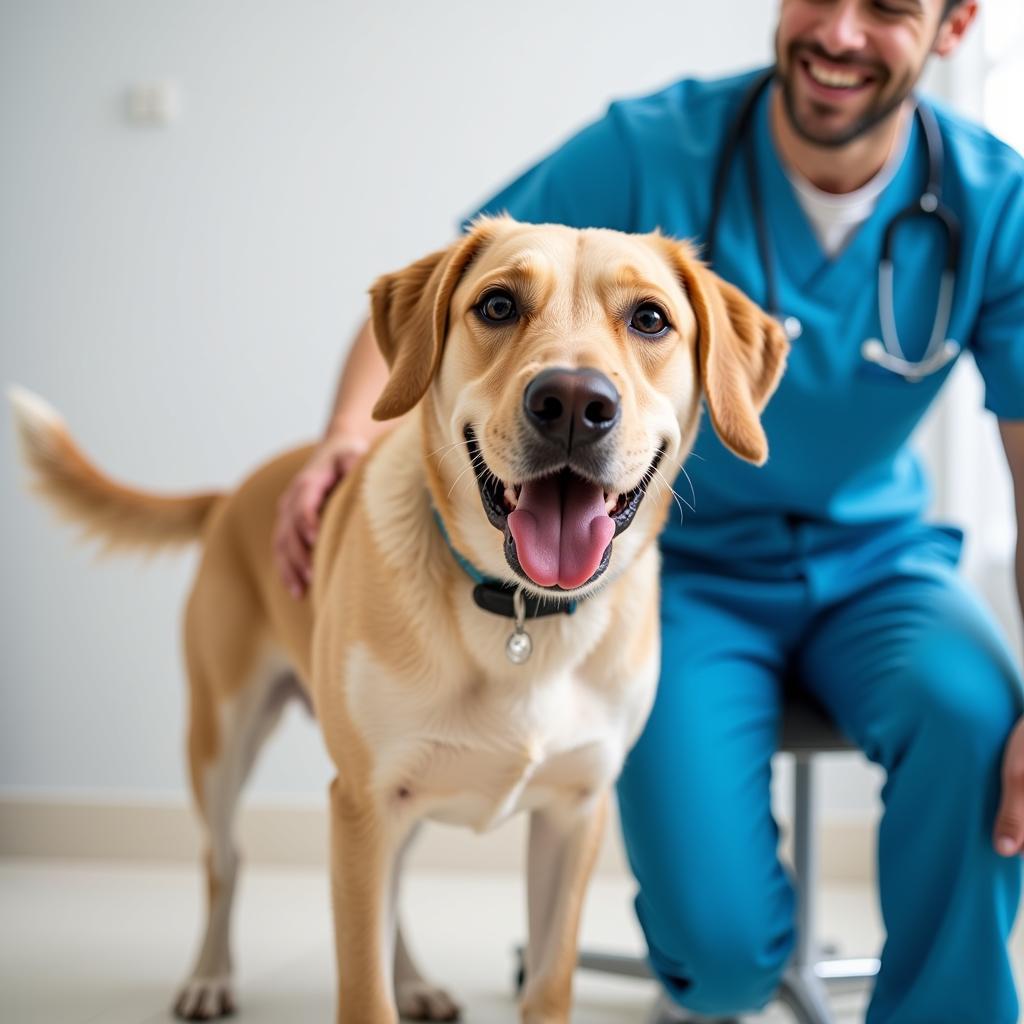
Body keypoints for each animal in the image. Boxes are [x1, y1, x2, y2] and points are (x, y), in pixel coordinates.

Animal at [9, 218, 782, 1024]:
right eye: (498, 305)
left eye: (650, 319)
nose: (571, 401)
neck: (519, 613)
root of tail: (232, 494)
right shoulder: (363, 805)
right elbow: (361, 982)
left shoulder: (573, 815)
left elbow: (546, 983)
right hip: (223, 739)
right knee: (225, 857)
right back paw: (210, 975)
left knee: (392, 895)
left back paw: (414, 981)